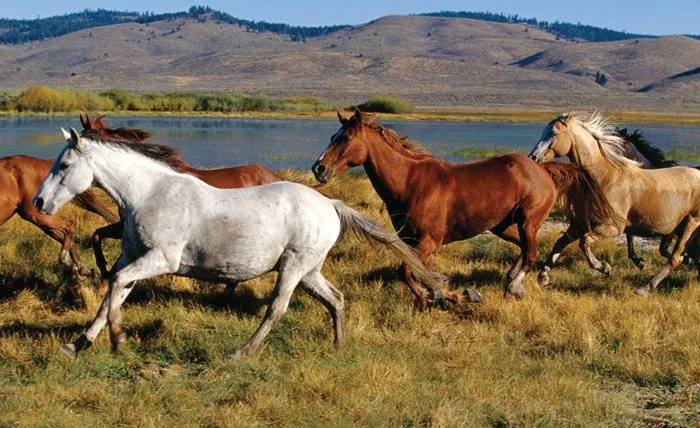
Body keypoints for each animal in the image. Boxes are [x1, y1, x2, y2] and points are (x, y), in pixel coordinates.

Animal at [78, 113, 284, 290]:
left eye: (90, 137)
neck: (148, 181)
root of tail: (274, 176)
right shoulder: (126, 227)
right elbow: (97, 235)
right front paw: (103, 273)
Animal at [312, 108, 616, 302]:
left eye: (345, 138)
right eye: (331, 137)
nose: (319, 168)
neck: (410, 182)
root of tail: (543, 169)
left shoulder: (428, 242)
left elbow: (409, 272)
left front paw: (444, 297)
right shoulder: (411, 241)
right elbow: (418, 273)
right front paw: (439, 295)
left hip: (529, 222)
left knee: (530, 254)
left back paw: (514, 287)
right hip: (503, 226)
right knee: (522, 250)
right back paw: (511, 282)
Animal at [532, 112, 700, 296]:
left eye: (553, 133)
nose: (533, 157)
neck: (605, 178)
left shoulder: (612, 227)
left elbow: (584, 242)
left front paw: (605, 267)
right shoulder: (581, 223)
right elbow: (561, 242)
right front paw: (543, 277)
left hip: (691, 223)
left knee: (675, 258)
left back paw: (644, 288)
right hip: (679, 228)